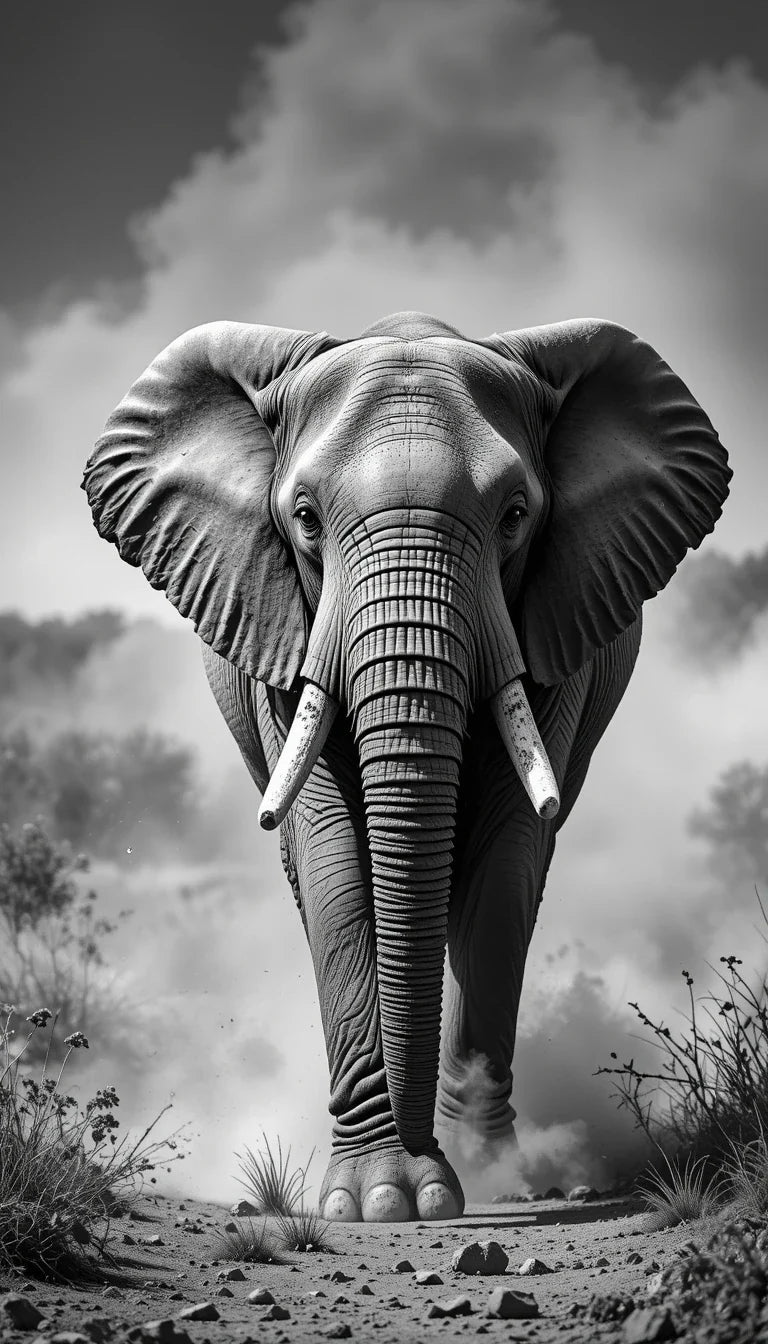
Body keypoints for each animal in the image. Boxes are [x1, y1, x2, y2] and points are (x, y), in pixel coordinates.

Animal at [83, 310, 730, 1222]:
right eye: (306, 518)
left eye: (515, 514)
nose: (434, 1176)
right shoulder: (283, 633)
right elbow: (330, 859)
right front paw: (382, 1200)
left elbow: (504, 859)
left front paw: (466, 1178)